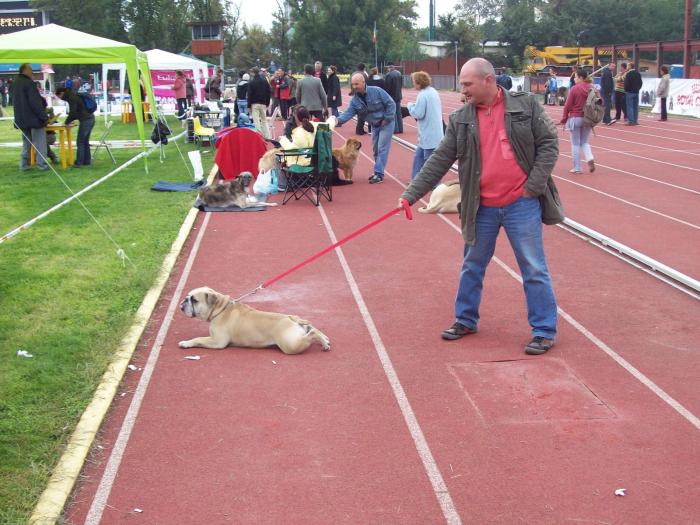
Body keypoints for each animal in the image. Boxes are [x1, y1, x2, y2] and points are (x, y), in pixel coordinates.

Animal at [178, 286, 330, 356]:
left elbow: (198, 339)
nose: (182, 304)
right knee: (312, 327)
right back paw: (325, 339)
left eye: (194, 300)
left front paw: (185, 343)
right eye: (187, 297)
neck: (220, 308)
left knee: (312, 333)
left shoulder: (216, 341)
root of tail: (291, 318)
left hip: (290, 345)